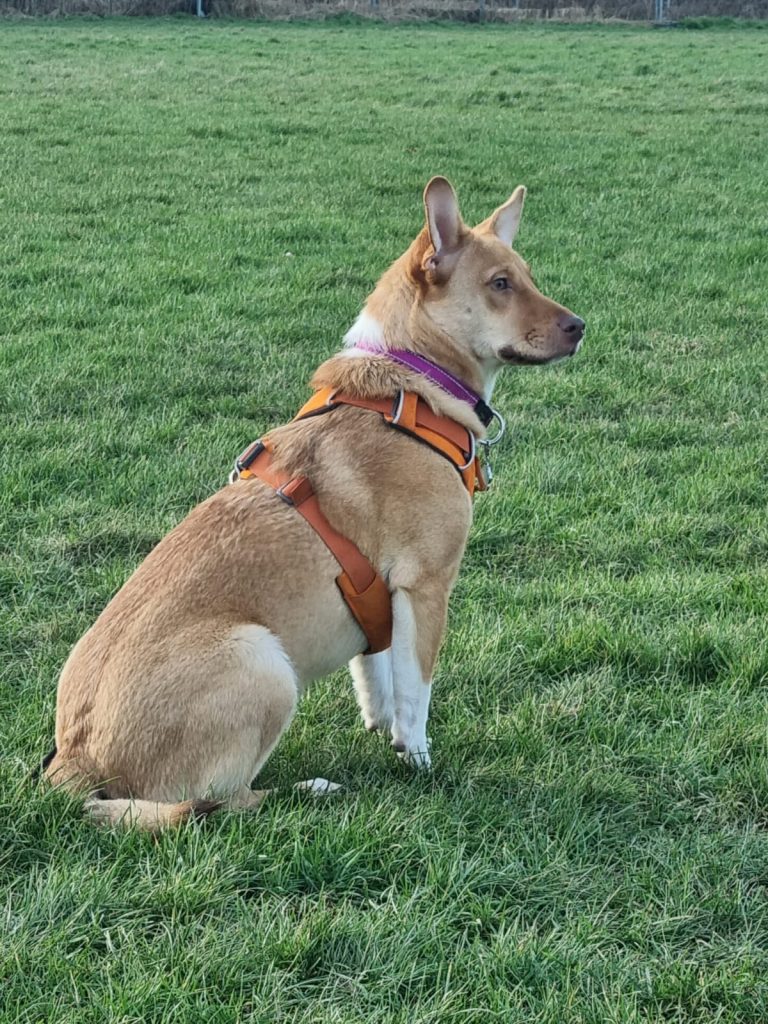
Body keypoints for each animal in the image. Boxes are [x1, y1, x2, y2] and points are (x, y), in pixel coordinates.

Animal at [45, 178, 585, 831]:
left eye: (526, 276)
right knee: (222, 802)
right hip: (264, 664)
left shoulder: (379, 596)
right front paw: (419, 760)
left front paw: (385, 732)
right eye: (500, 284)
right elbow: (416, 690)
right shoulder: (427, 586)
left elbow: (377, 673)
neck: (410, 382)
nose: (581, 326)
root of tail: (73, 764)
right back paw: (313, 790)